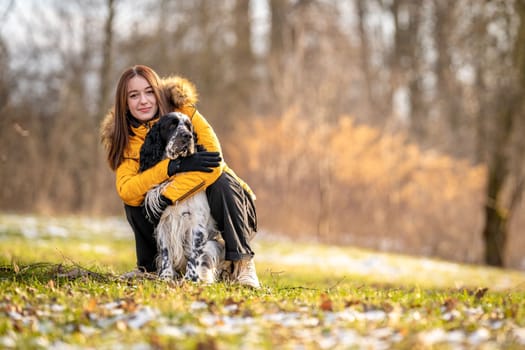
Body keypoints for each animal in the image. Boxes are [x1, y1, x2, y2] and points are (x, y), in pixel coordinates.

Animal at [138, 112, 224, 284]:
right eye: (172, 125)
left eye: (189, 126)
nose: (187, 136)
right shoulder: (163, 223)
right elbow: (165, 253)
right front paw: (165, 277)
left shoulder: (196, 224)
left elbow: (194, 255)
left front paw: (191, 279)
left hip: (212, 245)